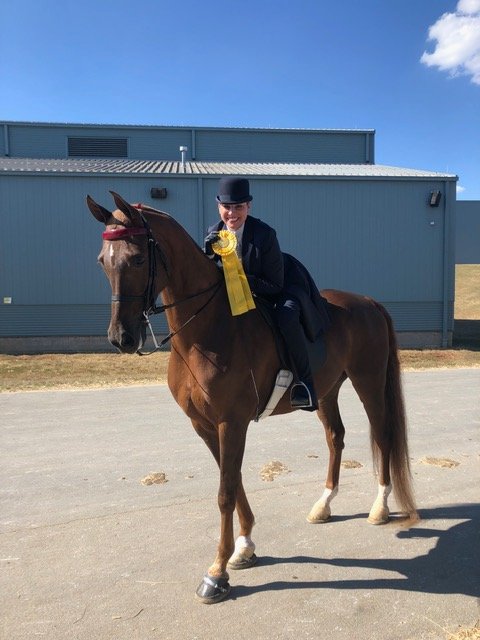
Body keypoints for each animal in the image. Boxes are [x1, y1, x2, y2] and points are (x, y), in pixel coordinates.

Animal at [86, 191, 417, 604]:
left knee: (383, 434)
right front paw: (244, 548)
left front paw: (217, 572)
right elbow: (233, 481)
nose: (122, 338)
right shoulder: (205, 425)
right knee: (335, 438)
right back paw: (324, 504)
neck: (207, 329)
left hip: (368, 381)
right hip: (327, 391)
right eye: (103, 261)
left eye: (137, 259)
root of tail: (369, 301)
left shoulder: (232, 422)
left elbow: (225, 492)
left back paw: (379, 507)